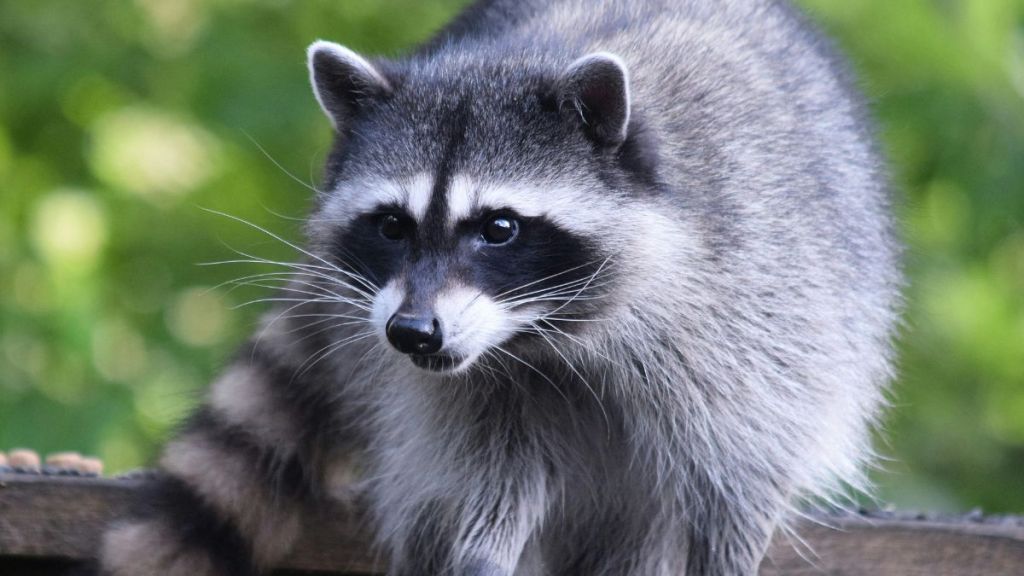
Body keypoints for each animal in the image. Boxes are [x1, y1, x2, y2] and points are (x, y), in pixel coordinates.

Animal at [94, 1, 897, 573]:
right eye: (392, 225)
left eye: (500, 228)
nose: (411, 333)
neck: (548, 334)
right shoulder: (461, 387)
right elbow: (481, 479)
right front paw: (480, 550)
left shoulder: (756, 309)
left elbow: (737, 478)